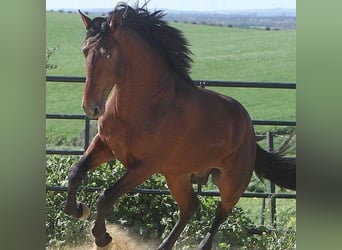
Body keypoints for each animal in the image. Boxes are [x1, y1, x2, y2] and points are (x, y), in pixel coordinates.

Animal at [65, 2, 296, 249]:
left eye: (108, 54)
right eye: (84, 51)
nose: (91, 107)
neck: (144, 105)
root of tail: (249, 129)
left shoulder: (145, 166)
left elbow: (106, 196)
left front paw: (102, 237)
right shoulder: (105, 146)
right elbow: (75, 172)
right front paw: (77, 209)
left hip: (231, 182)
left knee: (220, 212)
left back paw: (201, 244)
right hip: (177, 175)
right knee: (190, 206)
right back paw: (164, 245)